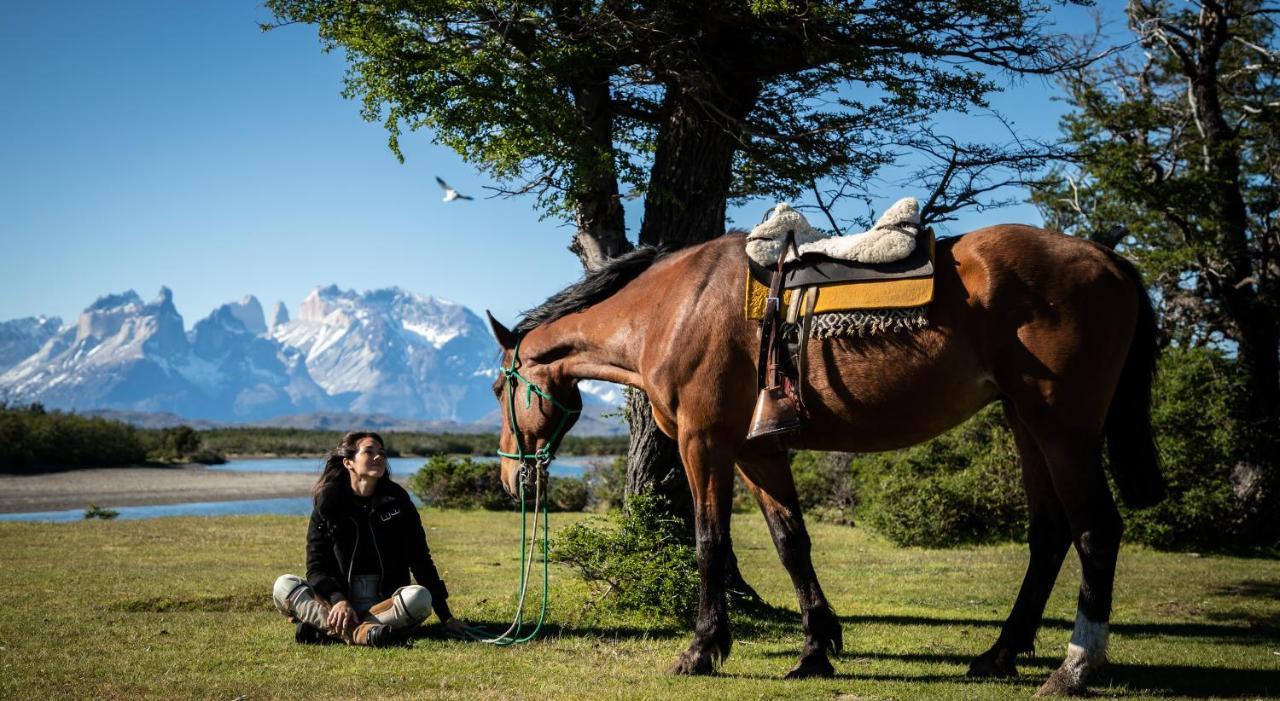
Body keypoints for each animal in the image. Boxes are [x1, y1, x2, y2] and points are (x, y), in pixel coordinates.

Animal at [483, 226, 1167, 695]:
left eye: (496, 389)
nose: (512, 476)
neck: (673, 309)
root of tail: (1108, 259)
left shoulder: (705, 445)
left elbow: (709, 543)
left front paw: (703, 649)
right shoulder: (757, 451)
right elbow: (792, 543)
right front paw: (815, 649)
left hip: (1063, 429)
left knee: (1095, 531)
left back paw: (1075, 666)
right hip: (1027, 426)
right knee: (1049, 535)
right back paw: (999, 654)